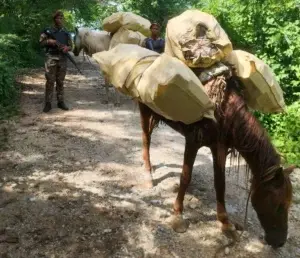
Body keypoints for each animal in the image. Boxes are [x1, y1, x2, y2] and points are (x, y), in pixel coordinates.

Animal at [137, 72, 294, 248]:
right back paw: (148, 175)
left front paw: (226, 224)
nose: (280, 242)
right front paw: (178, 215)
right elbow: (185, 177)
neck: (225, 113)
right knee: (146, 139)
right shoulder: (193, 142)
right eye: (279, 205)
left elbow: (220, 184)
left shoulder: (219, 147)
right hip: (144, 108)